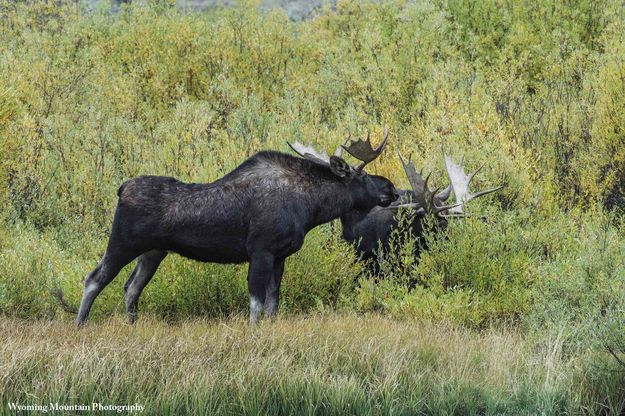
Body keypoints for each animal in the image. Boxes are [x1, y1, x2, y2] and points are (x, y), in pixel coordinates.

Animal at [72, 132, 394, 326]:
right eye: (362, 176)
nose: (390, 188)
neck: (311, 208)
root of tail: (122, 188)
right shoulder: (261, 250)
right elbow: (256, 301)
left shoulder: (280, 256)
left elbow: (273, 301)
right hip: (123, 243)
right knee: (94, 279)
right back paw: (80, 325)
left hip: (153, 252)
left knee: (131, 287)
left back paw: (133, 324)